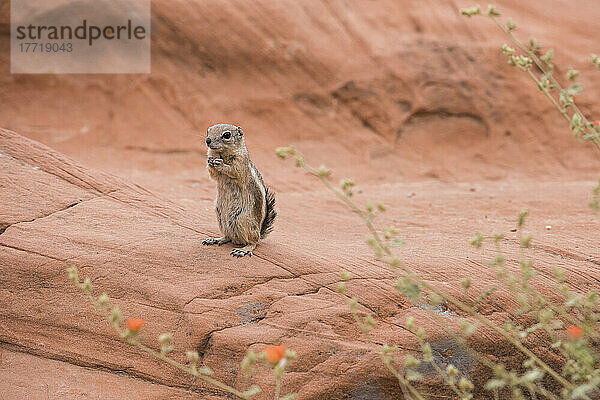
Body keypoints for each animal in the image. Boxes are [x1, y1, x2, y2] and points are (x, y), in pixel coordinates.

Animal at [202, 123, 276, 258]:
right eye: (208, 131)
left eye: (227, 135)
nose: (208, 140)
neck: (222, 153)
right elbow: (213, 174)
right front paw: (211, 161)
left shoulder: (240, 163)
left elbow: (234, 171)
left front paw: (220, 164)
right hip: (220, 218)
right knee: (228, 237)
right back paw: (215, 239)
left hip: (243, 220)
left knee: (253, 242)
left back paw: (243, 250)